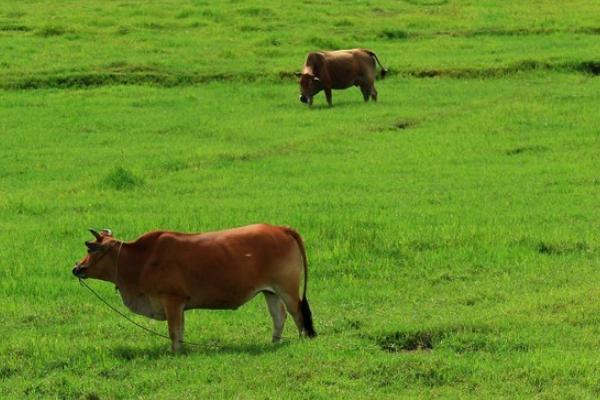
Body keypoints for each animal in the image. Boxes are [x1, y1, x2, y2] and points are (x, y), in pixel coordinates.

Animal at [72, 223, 316, 352]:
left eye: (91, 249)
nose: (77, 268)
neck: (141, 260)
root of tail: (281, 229)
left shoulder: (172, 300)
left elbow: (173, 331)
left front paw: (175, 353)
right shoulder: (179, 305)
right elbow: (180, 331)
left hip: (287, 289)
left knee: (297, 314)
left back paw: (301, 340)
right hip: (270, 291)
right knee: (279, 316)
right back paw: (273, 342)